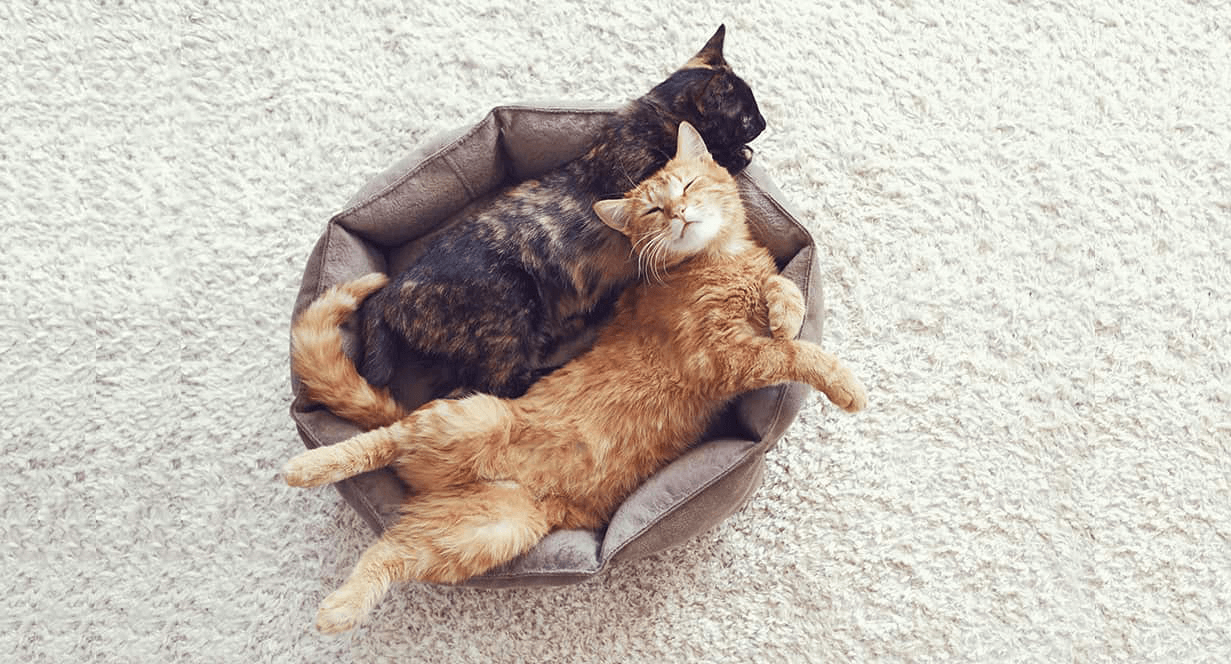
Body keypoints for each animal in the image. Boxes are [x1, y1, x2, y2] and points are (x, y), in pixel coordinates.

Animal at [286, 121, 866, 635]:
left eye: (687, 186)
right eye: (653, 209)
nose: (679, 213)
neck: (719, 261)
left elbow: (782, 293)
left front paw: (786, 310)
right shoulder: (725, 359)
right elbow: (797, 354)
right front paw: (845, 384)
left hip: (488, 530)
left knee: (389, 552)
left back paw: (341, 608)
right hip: (474, 417)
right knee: (379, 441)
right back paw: (307, 468)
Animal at [356, 24, 763, 399]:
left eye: (756, 104)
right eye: (745, 117)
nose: (764, 123)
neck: (657, 113)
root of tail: (393, 289)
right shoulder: (631, 182)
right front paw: (734, 155)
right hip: (513, 300)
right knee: (496, 385)